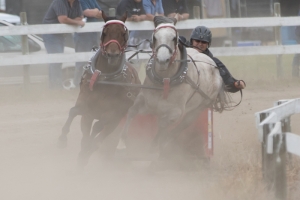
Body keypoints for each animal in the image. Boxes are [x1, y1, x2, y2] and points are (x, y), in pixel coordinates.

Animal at [58, 11, 141, 167]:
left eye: (123, 33)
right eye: (104, 32)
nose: (113, 55)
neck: (104, 79)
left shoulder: (113, 113)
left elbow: (98, 127)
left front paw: (87, 148)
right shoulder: (85, 105)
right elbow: (74, 113)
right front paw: (62, 138)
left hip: (116, 119)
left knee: (99, 133)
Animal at [118, 16, 229, 161]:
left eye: (174, 38)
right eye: (154, 37)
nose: (162, 60)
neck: (165, 81)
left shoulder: (176, 113)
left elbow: (163, 125)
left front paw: (154, 147)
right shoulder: (144, 101)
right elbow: (132, 111)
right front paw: (122, 143)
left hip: (199, 109)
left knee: (179, 127)